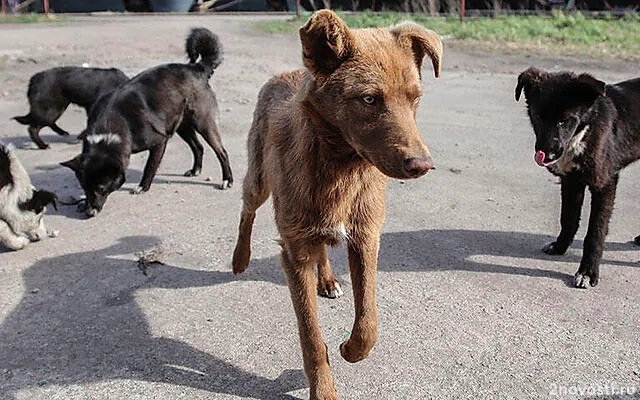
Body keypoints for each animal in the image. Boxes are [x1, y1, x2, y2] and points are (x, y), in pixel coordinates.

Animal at [60, 27, 232, 219]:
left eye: (102, 188)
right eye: (84, 188)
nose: (90, 212)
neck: (114, 123)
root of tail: (197, 68)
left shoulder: (159, 142)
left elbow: (150, 167)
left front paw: (143, 186)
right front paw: (82, 202)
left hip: (203, 123)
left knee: (222, 152)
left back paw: (227, 180)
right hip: (182, 126)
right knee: (198, 147)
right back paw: (195, 170)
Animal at [232, 10, 442, 400]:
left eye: (415, 97)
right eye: (370, 99)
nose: (422, 165)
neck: (341, 170)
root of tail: (286, 73)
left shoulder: (366, 238)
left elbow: (369, 321)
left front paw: (350, 349)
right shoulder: (295, 253)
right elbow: (311, 337)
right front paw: (323, 388)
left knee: (323, 250)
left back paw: (328, 280)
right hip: (259, 181)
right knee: (247, 209)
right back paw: (240, 258)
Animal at [516, 67, 640, 290]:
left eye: (565, 120)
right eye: (537, 115)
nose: (547, 155)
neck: (584, 131)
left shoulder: (605, 183)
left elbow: (595, 233)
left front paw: (588, 273)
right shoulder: (571, 181)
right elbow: (568, 219)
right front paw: (559, 247)